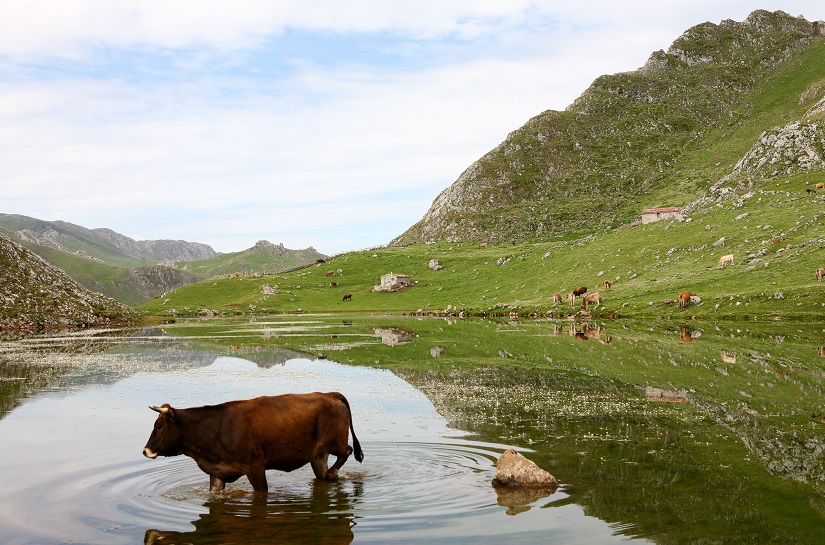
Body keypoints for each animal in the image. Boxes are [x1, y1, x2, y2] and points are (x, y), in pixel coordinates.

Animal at [143, 394, 362, 490]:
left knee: (348, 450)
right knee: (324, 472)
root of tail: (329, 394)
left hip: (335, 442)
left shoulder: (255, 467)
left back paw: (333, 472)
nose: (145, 451)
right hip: (317, 455)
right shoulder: (218, 471)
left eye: (159, 426)